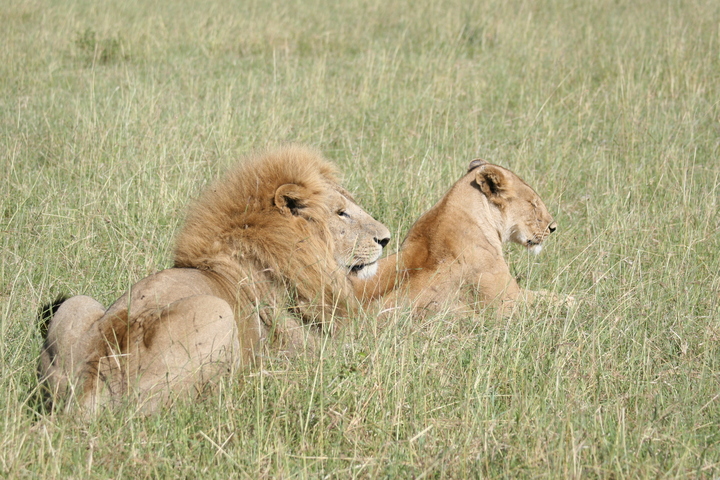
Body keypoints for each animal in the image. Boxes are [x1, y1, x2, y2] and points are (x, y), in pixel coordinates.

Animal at [39, 145, 390, 414]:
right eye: (341, 213)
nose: (386, 239)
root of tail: (92, 381)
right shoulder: (311, 351)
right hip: (216, 311)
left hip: (75, 305)